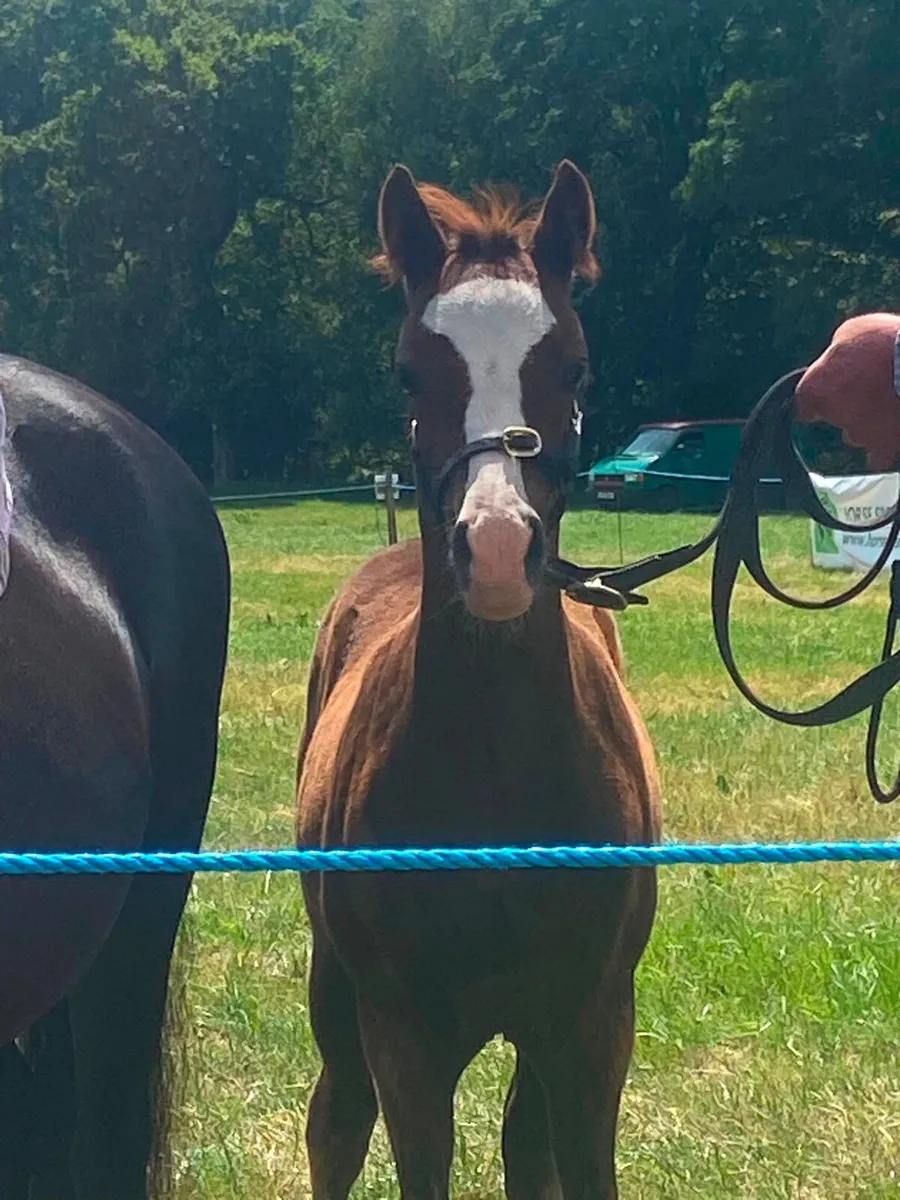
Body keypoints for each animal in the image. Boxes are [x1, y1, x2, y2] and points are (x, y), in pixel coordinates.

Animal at [296, 160, 660, 1199]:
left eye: (574, 367)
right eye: (409, 371)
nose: (495, 553)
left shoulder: (590, 1030)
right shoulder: (406, 1039)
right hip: (336, 993)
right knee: (335, 1121)